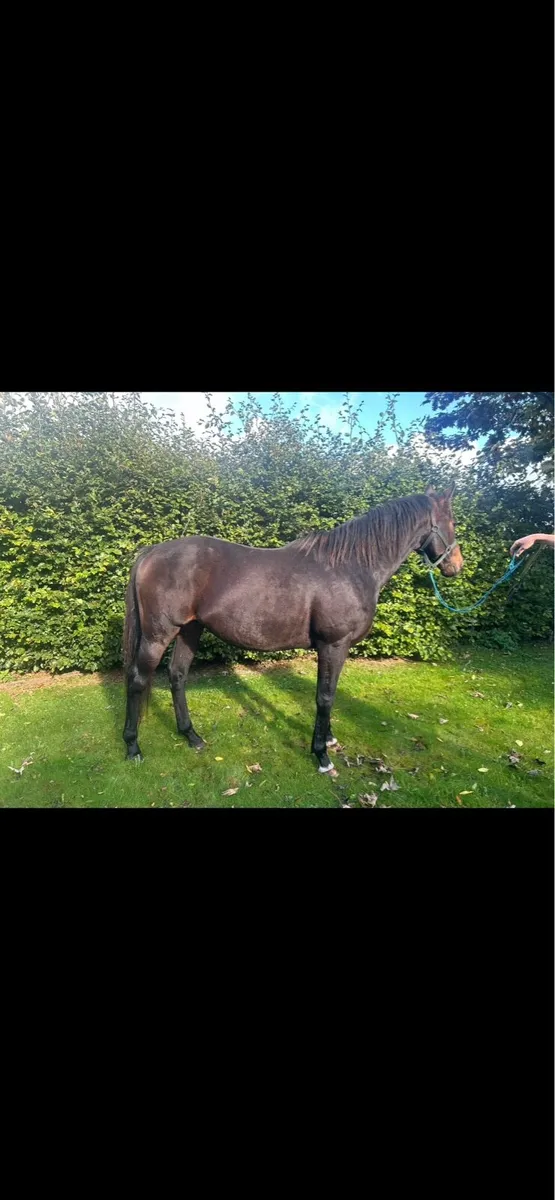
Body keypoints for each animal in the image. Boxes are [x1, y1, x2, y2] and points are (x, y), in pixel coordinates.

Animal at [122, 485, 463, 774]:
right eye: (452, 522)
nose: (456, 566)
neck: (351, 566)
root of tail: (151, 553)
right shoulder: (333, 645)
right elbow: (324, 696)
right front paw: (321, 756)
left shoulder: (337, 648)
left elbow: (330, 693)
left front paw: (328, 740)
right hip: (157, 636)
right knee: (137, 680)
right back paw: (133, 747)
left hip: (190, 630)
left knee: (177, 676)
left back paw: (191, 736)